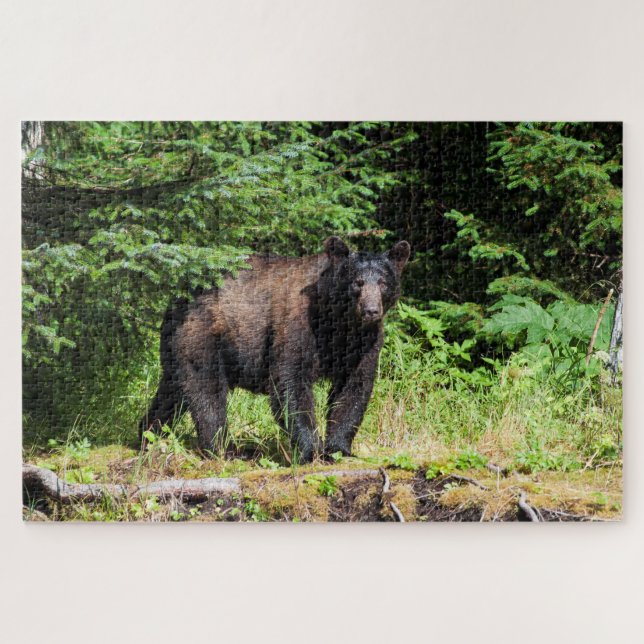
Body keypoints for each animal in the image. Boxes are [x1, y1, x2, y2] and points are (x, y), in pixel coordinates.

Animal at [140, 236, 411, 462]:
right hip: (203, 336)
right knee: (207, 391)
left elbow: (354, 389)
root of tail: (177, 297)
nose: (371, 310)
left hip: (176, 348)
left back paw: (148, 434)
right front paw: (310, 450)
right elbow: (291, 382)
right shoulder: (297, 326)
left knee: (172, 392)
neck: (338, 322)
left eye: (383, 282)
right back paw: (224, 449)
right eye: (358, 282)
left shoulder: (363, 343)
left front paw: (338, 449)